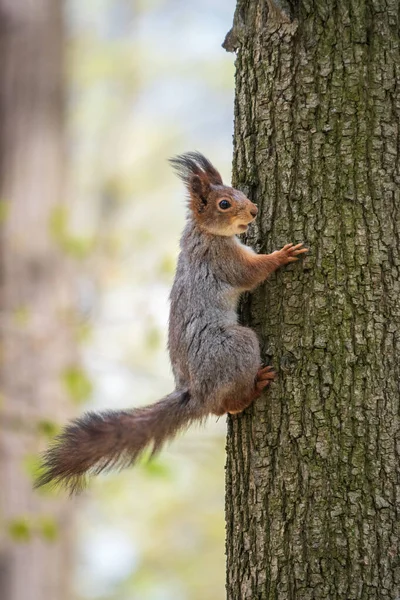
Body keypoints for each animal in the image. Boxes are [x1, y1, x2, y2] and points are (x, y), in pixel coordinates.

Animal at [36, 152, 308, 494]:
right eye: (224, 204)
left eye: (239, 192)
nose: (255, 211)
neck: (203, 232)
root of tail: (196, 395)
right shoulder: (221, 259)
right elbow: (251, 272)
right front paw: (282, 255)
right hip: (235, 345)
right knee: (227, 404)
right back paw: (254, 386)